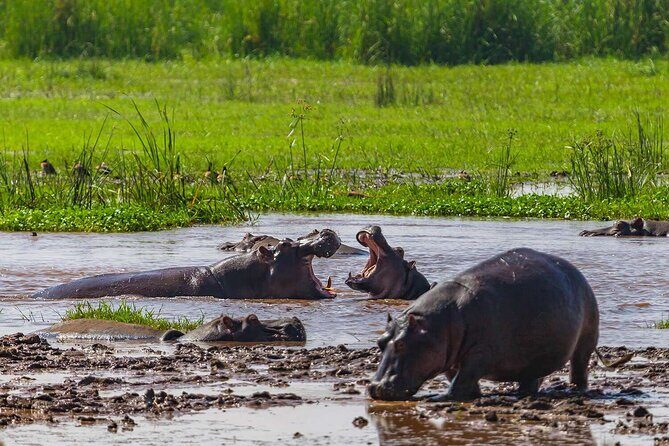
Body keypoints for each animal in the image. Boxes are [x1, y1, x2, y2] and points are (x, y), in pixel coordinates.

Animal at [368, 248, 599, 401]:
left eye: (401, 344)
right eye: (380, 342)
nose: (374, 387)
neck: (435, 325)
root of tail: (577, 272)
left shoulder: (480, 353)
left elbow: (464, 376)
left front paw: (441, 398)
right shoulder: (448, 354)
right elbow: (457, 376)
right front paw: (474, 394)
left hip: (586, 341)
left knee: (579, 367)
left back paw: (575, 389)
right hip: (534, 355)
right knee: (531, 376)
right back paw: (523, 393)